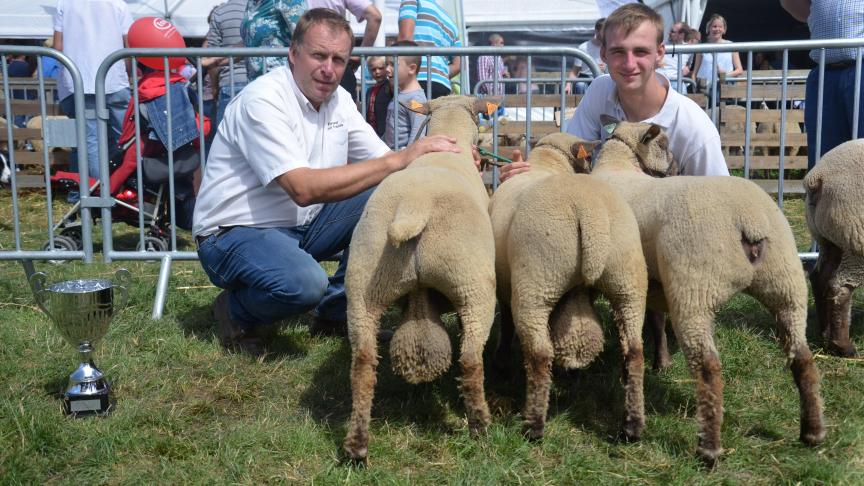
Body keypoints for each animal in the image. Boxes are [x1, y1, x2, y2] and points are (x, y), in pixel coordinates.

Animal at [340, 95, 496, 464]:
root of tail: (415, 206)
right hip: (473, 284)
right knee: (471, 359)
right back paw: (480, 426)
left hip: (365, 283)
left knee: (363, 364)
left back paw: (357, 445)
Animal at [492, 132, 648, 440]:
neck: (547, 163)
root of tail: (589, 211)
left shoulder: (505, 285)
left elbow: (506, 325)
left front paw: (502, 363)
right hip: (628, 280)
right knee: (634, 350)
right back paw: (632, 426)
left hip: (536, 282)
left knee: (540, 354)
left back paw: (534, 425)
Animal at [592, 119, 828, 466]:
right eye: (665, 145)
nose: (677, 165)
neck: (618, 165)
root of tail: (747, 220)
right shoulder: (656, 281)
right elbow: (657, 321)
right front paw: (662, 361)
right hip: (787, 283)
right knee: (803, 357)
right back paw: (813, 431)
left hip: (693, 289)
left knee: (708, 368)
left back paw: (708, 448)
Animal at [804, 139, 864, 356]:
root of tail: (819, 176)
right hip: (855, 237)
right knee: (840, 288)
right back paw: (843, 346)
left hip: (830, 237)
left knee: (820, 277)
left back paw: (825, 333)